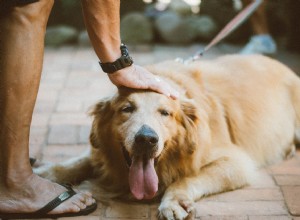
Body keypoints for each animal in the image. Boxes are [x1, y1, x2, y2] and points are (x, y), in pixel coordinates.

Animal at [37, 54, 300, 219]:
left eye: (165, 113)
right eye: (127, 109)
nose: (146, 139)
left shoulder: (236, 162)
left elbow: (186, 178)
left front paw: (174, 200)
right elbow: (78, 161)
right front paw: (46, 174)